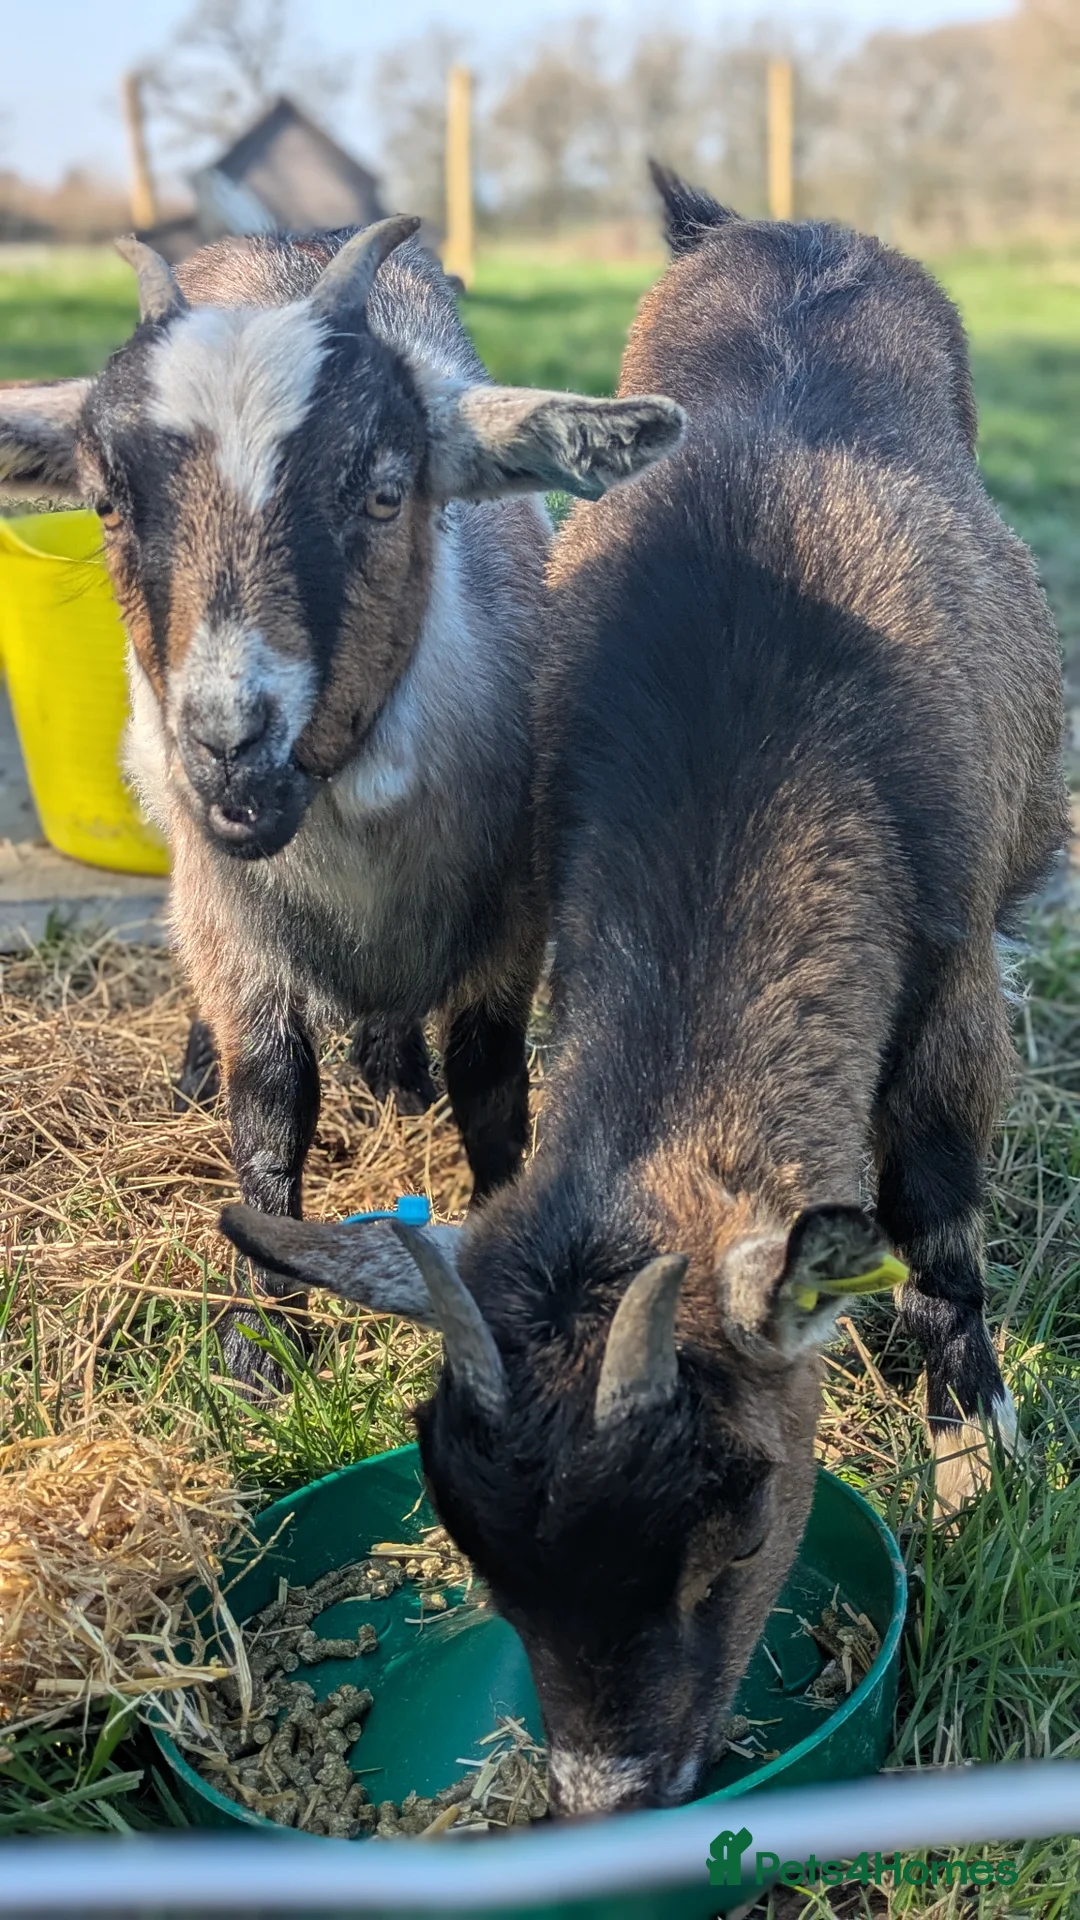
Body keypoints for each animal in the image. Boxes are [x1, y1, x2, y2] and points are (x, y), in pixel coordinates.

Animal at [0, 217, 683, 1392]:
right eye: (107, 504)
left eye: (382, 492)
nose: (231, 749)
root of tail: (286, 240)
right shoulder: (235, 920)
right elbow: (272, 1104)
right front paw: (262, 1338)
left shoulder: (509, 918)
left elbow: (492, 1088)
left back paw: (393, 1069)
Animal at [224, 173, 1066, 1810]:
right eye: (487, 1573)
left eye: (734, 1506)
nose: (611, 1796)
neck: (770, 711)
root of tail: (766, 224)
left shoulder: (948, 986)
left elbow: (937, 1220)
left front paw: (976, 1454)